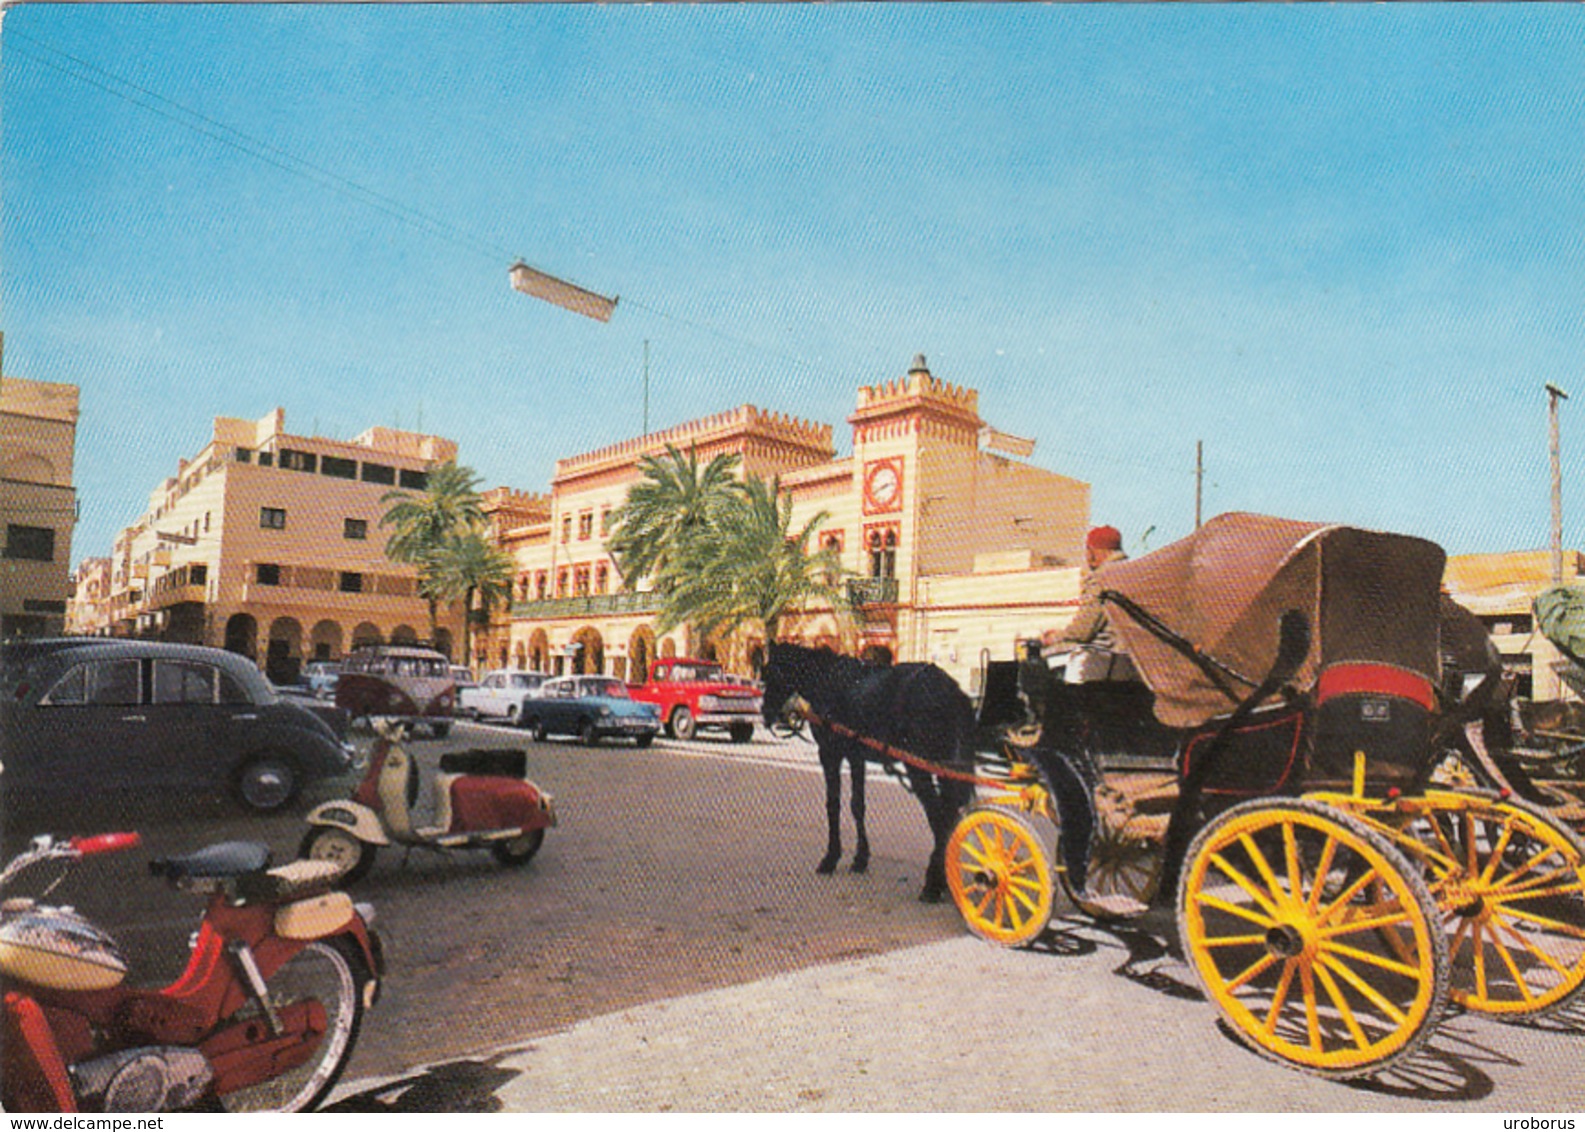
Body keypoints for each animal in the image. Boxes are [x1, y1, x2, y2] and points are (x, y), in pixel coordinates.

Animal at [757, 643, 970, 900]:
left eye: (769, 673)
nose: (766, 713)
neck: (825, 679)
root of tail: (950, 689)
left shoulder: (829, 754)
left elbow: (833, 804)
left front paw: (831, 857)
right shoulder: (856, 757)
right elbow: (857, 805)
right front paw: (860, 858)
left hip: (918, 766)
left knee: (938, 816)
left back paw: (933, 885)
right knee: (949, 814)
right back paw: (946, 880)